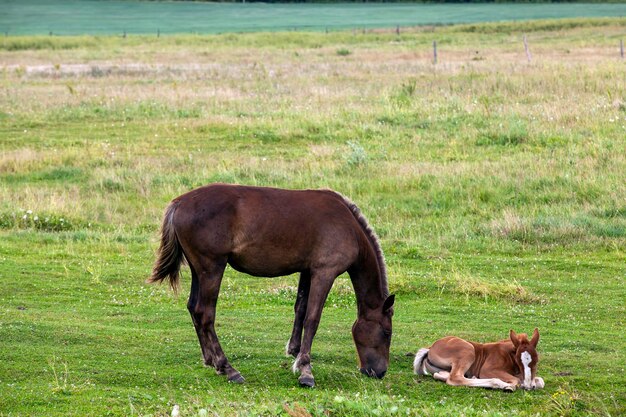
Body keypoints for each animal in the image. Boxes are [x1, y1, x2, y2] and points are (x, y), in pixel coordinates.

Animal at [148, 184, 392, 386]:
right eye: (387, 332)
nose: (380, 372)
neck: (348, 226)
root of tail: (178, 203)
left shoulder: (307, 271)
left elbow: (301, 310)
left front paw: (295, 351)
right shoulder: (324, 272)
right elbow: (312, 319)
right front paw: (306, 370)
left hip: (198, 270)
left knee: (193, 308)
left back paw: (210, 360)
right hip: (212, 268)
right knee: (205, 313)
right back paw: (227, 368)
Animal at [410, 328, 540, 390]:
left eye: (536, 360)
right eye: (518, 361)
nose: (529, 386)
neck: (508, 353)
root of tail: (430, 348)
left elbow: (539, 381)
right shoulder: (487, 370)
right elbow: (516, 380)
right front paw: (508, 386)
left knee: (440, 375)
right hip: (468, 350)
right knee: (454, 378)